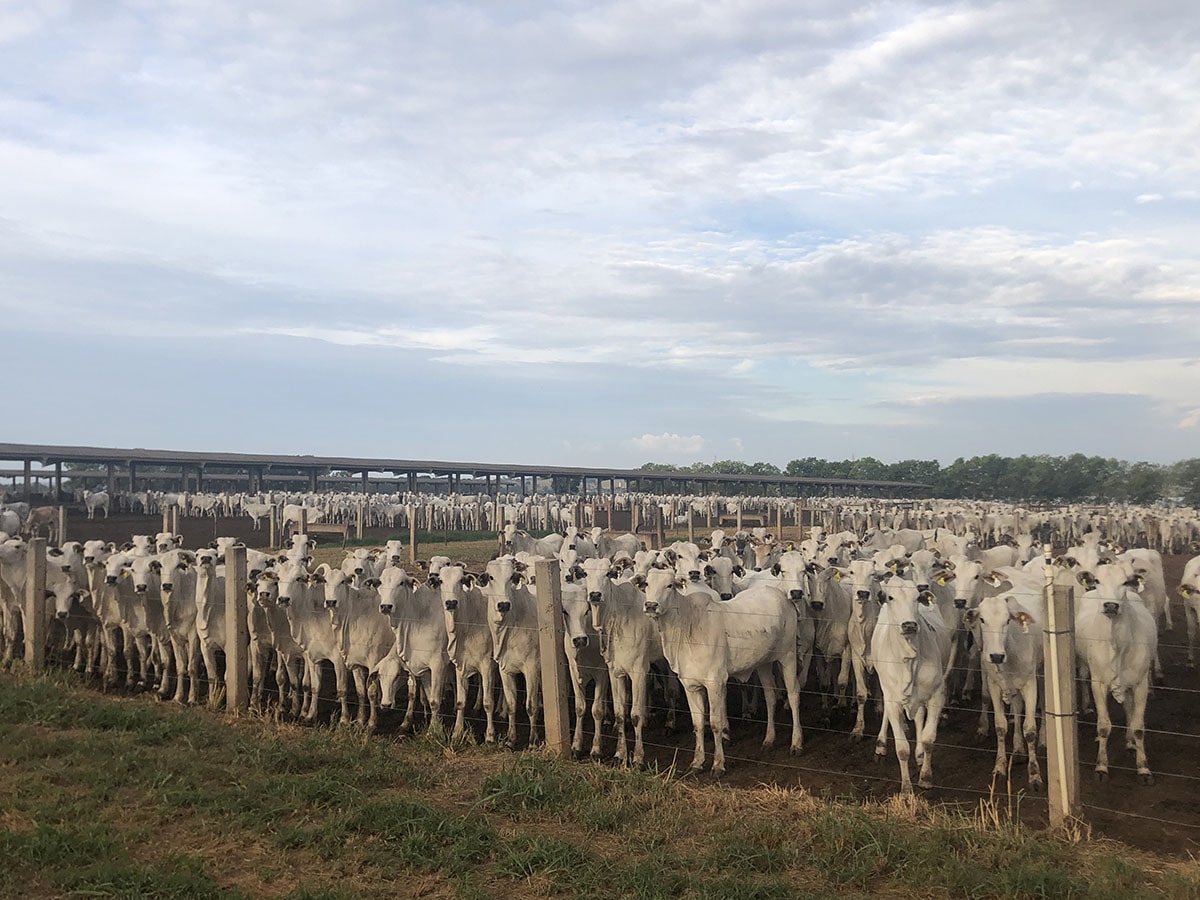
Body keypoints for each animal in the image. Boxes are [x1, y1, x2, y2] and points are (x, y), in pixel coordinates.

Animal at [638, 571, 796, 777]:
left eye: (669, 585)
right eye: (647, 584)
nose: (650, 605)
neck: (686, 627)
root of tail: (781, 595)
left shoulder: (714, 683)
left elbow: (715, 723)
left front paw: (718, 765)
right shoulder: (690, 685)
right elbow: (698, 723)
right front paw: (697, 762)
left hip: (788, 655)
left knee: (794, 696)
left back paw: (796, 743)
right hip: (764, 663)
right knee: (770, 696)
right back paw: (769, 739)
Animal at [873, 578, 945, 796]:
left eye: (917, 598)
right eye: (891, 597)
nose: (909, 625)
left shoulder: (937, 695)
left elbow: (929, 739)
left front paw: (926, 777)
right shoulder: (892, 698)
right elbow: (902, 749)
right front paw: (906, 789)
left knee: (920, 716)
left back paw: (919, 754)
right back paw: (880, 744)